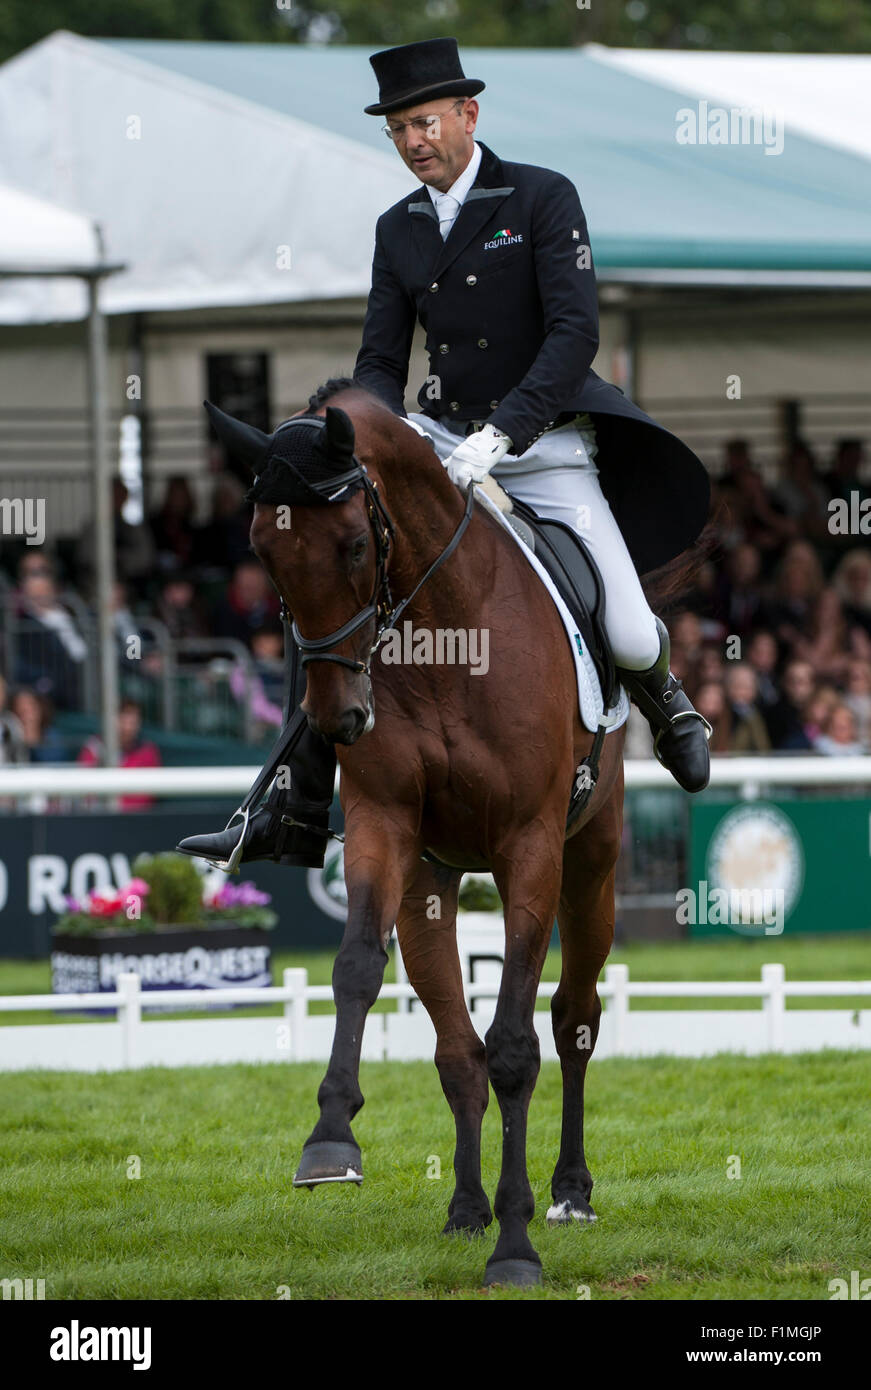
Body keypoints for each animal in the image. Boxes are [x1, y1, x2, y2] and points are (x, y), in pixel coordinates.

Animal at [252, 383, 627, 1289]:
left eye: (355, 544)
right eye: (263, 557)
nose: (339, 718)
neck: (447, 635)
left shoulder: (530, 849)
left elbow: (517, 1046)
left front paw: (517, 1248)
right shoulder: (383, 826)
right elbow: (356, 968)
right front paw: (329, 1142)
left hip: (589, 866)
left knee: (573, 1019)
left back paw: (567, 1192)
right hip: (431, 882)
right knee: (455, 1050)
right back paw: (465, 1208)